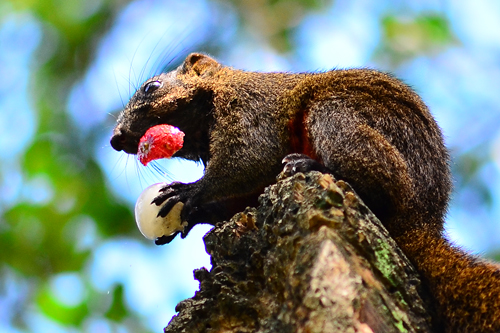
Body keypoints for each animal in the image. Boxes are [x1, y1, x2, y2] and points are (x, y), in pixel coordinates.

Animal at [109, 53, 500, 330]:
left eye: (151, 87)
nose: (116, 139)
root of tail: (422, 224)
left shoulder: (252, 108)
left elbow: (249, 158)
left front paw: (190, 193)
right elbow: (240, 195)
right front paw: (192, 216)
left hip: (340, 115)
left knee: (379, 185)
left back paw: (312, 167)